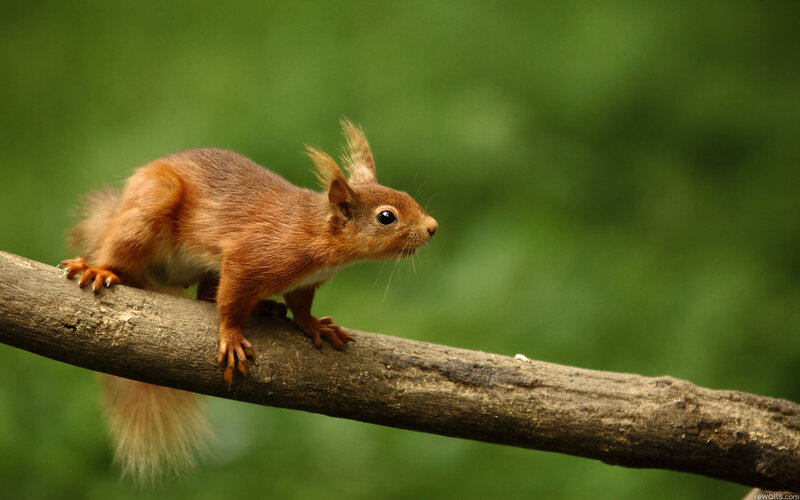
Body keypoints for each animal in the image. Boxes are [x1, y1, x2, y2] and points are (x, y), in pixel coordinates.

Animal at [59, 120, 438, 480]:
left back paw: (265, 306)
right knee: (124, 251)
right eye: (386, 217)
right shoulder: (250, 258)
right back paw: (98, 268)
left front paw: (315, 326)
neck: (316, 233)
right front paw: (231, 337)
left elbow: (300, 306)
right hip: (151, 206)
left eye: (405, 195)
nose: (433, 227)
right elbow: (230, 303)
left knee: (205, 295)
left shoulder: (305, 282)